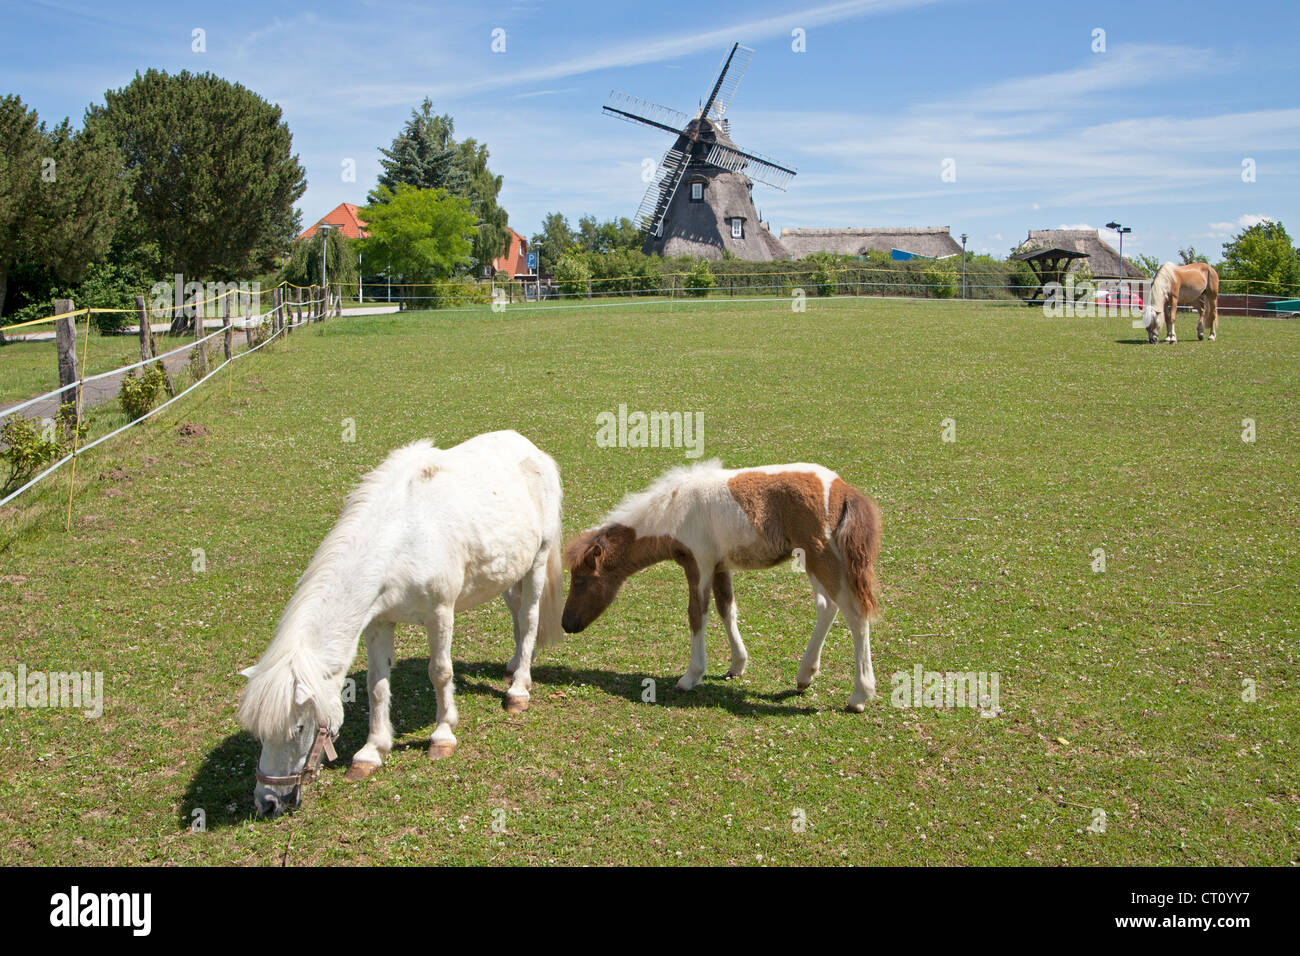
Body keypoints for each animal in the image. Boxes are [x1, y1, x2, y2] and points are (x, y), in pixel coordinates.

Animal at [239, 434, 564, 816]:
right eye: (261, 734)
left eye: (299, 727)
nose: (268, 802)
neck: (402, 538)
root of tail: (531, 449)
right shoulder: (378, 622)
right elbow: (376, 686)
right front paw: (371, 752)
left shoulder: (440, 613)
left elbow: (440, 673)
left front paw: (442, 736)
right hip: (508, 569)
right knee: (516, 614)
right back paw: (514, 666)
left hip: (537, 562)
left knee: (528, 619)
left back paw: (519, 689)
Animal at [561, 460, 883, 712]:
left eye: (580, 580)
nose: (567, 624)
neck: (673, 512)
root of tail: (843, 489)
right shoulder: (719, 566)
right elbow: (726, 608)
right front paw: (737, 664)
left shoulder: (699, 564)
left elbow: (697, 615)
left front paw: (690, 676)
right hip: (813, 560)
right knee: (828, 607)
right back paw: (805, 675)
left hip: (821, 558)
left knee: (855, 614)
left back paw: (859, 695)